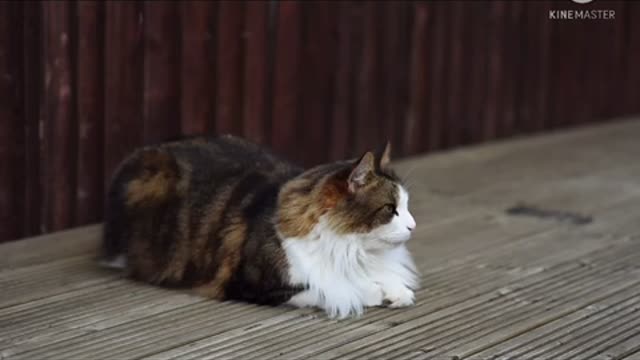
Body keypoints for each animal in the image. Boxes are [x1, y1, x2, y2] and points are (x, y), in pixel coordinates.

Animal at [100, 134, 418, 318]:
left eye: (405, 205)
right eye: (390, 210)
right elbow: (335, 289)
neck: (351, 248)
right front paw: (373, 292)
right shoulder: (257, 285)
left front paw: (395, 291)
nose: (413, 226)